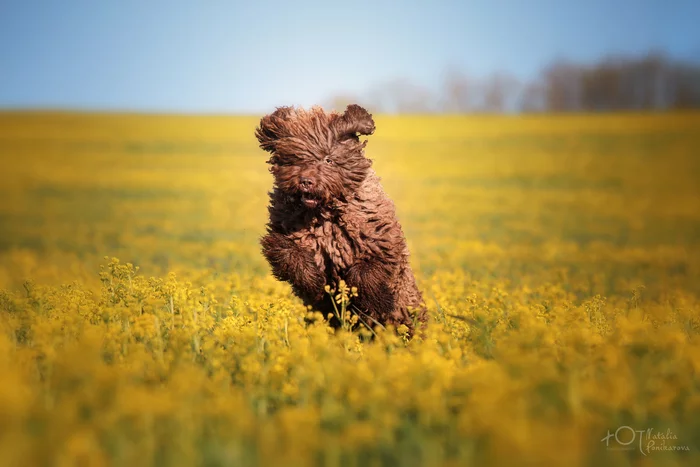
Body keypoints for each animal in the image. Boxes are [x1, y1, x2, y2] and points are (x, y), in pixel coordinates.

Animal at [256, 104, 426, 336]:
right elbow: (291, 256)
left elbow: (365, 274)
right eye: (296, 159)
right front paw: (315, 284)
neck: (324, 216)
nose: (306, 181)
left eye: (328, 159)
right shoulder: (285, 233)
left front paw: (374, 303)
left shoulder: (379, 243)